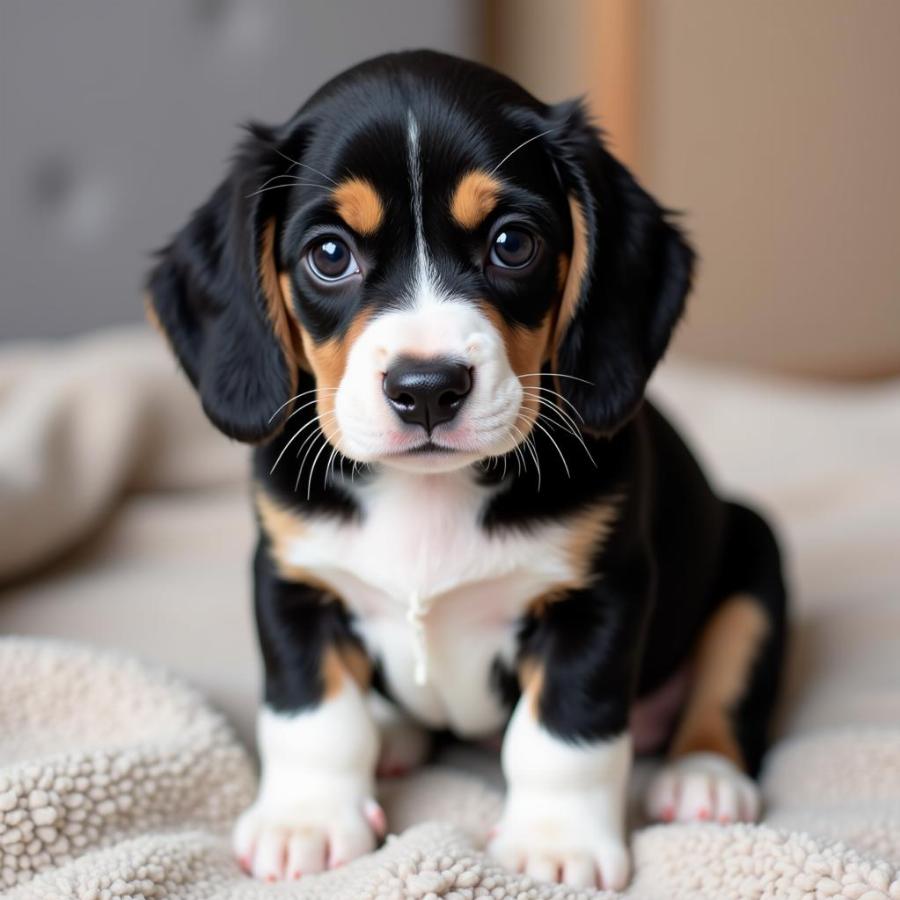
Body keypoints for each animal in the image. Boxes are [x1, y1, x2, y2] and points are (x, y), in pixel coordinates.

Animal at [144, 51, 784, 892]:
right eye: (329, 254)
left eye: (513, 243)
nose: (426, 388)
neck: (428, 495)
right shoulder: (290, 581)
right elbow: (311, 716)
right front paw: (305, 821)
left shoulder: (600, 597)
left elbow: (564, 735)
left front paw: (557, 842)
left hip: (757, 561)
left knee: (725, 688)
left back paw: (703, 777)